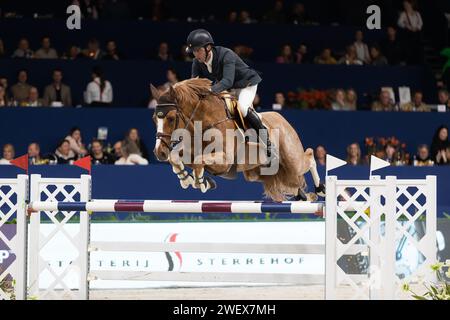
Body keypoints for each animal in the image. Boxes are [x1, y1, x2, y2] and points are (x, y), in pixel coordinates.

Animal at [151, 78, 324, 201]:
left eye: (171, 118)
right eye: (154, 119)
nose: (159, 152)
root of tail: (282, 119)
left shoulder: (225, 160)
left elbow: (199, 161)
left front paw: (201, 182)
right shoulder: (189, 152)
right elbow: (175, 158)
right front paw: (187, 179)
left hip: (292, 161)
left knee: (309, 157)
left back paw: (320, 189)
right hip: (259, 173)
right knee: (294, 185)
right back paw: (304, 196)